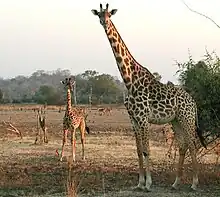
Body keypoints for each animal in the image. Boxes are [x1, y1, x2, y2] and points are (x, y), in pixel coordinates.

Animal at [90, 3, 206, 191]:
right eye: (99, 15)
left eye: (109, 15)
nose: (104, 22)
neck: (129, 81)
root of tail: (193, 102)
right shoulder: (133, 119)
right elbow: (138, 151)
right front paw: (139, 183)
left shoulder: (144, 119)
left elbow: (147, 150)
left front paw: (148, 184)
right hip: (176, 121)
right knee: (183, 145)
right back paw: (175, 183)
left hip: (186, 118)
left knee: (192, 144)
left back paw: (194, 183)